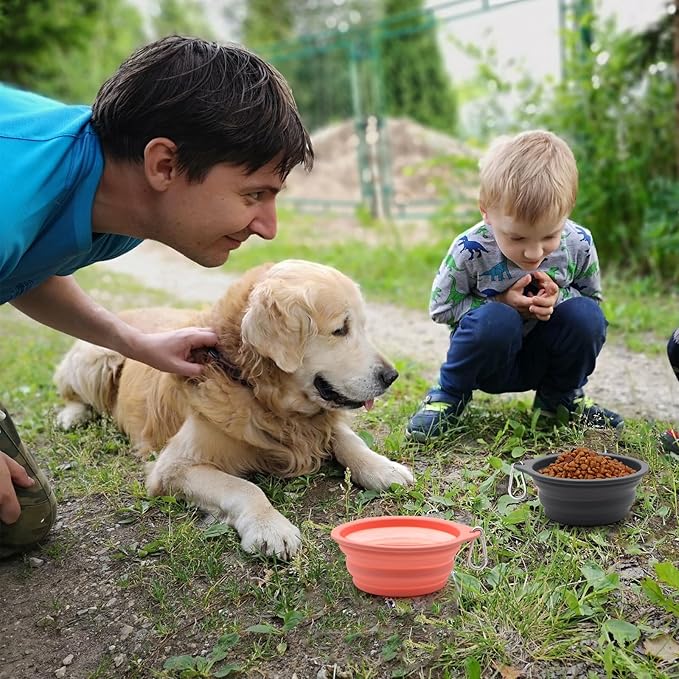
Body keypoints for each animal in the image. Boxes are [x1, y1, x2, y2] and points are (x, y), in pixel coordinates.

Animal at [53, 260, 414, 556]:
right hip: (96, 358)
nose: (391, 376)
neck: (255, 391)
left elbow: (349, 440)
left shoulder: (316, 425)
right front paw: (270, 527)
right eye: (340, 330)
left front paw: (383, 468)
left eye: (363, 326)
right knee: (72, 392)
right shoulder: (173, 467)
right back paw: (71, 416)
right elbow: (244, 486)